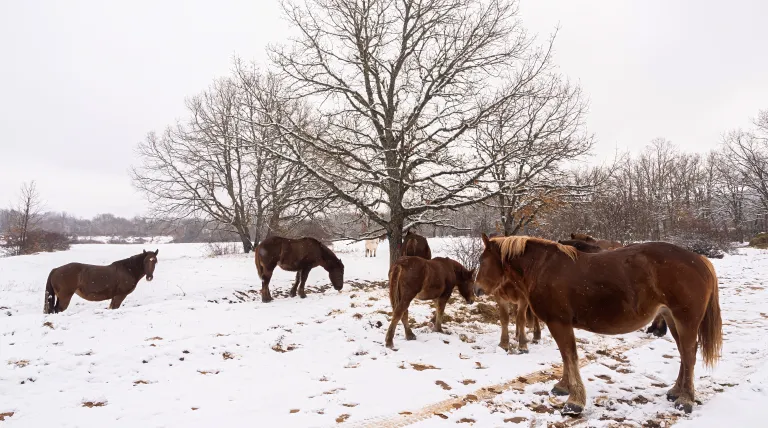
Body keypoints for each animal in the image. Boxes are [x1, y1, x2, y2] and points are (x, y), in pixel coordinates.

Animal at [476, 234, 721, 416]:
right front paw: (563, 387)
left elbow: (570, 355)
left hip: (685, 321)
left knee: (689, 354)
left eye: (481, 260)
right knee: (684, 354)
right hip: (672, 319)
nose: (477, 289)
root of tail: (700, 260)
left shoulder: (559, 322)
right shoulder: (560, 324)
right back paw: (676, 391)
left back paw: (685, 400)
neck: (544, 268)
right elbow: (566, 356)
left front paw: (574, 402)